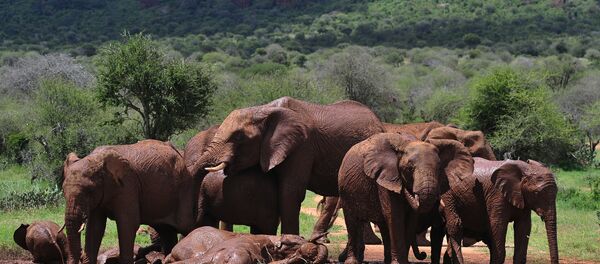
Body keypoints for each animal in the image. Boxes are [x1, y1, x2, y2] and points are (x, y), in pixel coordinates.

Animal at [62, 140, 197, 264]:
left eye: (89, 190)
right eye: (63, 190)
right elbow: (95, 227)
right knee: (166, 231)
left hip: (184, 188)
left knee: (186, 226)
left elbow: (127, 223)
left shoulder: (128, 185)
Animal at [338, 134, 474, 264]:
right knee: (352, 221)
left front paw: (403, 262)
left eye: (439, 168)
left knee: (383, 226)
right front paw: (398, 262)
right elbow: (395, 216)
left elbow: (410, 220)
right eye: (409, 168)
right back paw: (351, 262)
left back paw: (386, 261)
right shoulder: (386, 179)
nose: (424, 254)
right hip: (345, 189)